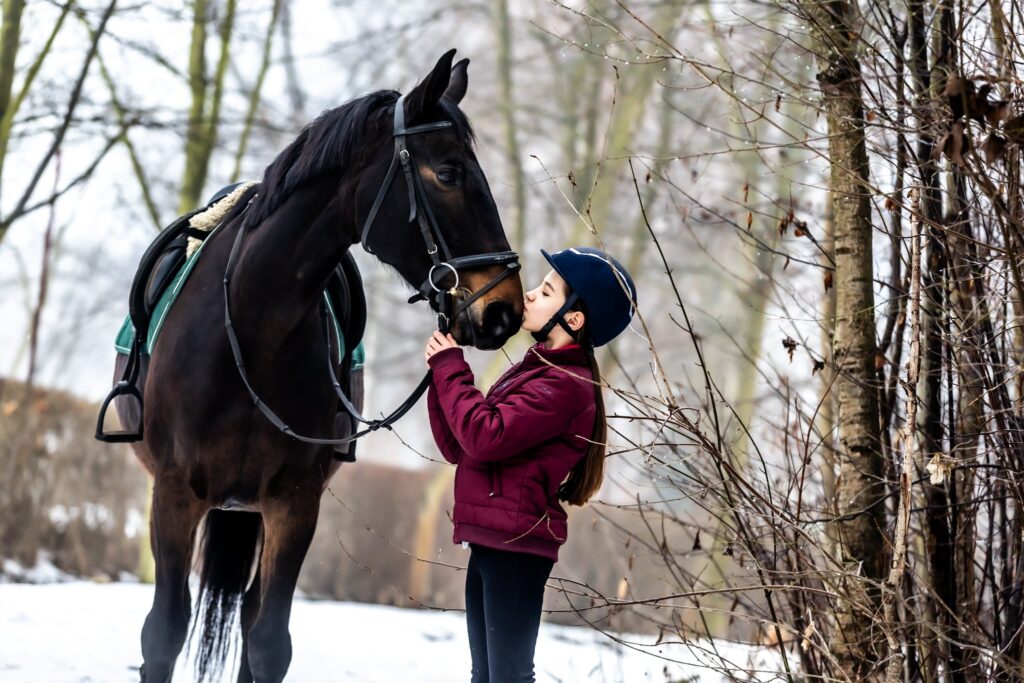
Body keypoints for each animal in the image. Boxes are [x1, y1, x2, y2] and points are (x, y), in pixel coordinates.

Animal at [111, 49, 523, 682]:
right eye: (450, 173)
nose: (504, 308)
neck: (251, 331)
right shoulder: (175, 495)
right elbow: (162, 635)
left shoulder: (294, 503)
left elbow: (267, 644)